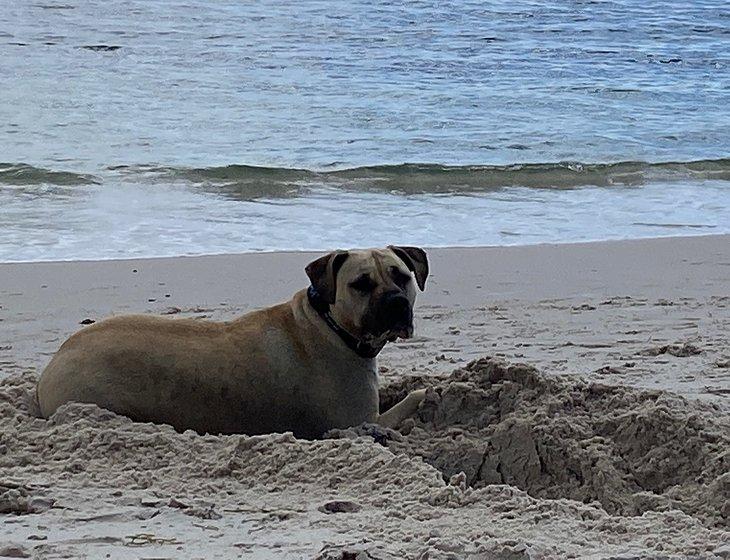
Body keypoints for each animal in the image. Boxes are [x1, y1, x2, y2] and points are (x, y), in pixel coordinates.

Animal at [35, 245, 426, 438]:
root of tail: (51, 367)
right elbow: (411, 400)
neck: (329, 322)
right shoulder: (362, 422)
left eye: (401, 276)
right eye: (361, 284)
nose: (396, 303)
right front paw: (426, 394)